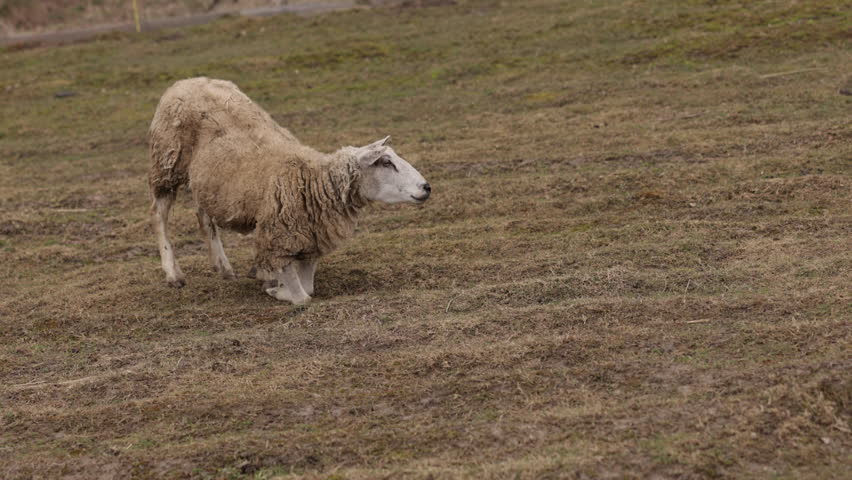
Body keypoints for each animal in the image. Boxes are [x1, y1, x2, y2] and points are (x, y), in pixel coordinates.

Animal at [148, 77, 432, 306]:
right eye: (385, 162)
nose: (426, 187)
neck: (312, 181)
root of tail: (187, 80)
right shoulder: (279, 237)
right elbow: (302, 297)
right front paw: (278, 289)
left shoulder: (311, 239)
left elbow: (309, 287)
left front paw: (273, 282)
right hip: (167, 162)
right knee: (159, 214)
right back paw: (173, 274)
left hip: (208, 182)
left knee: (203, 215)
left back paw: (223, 267)